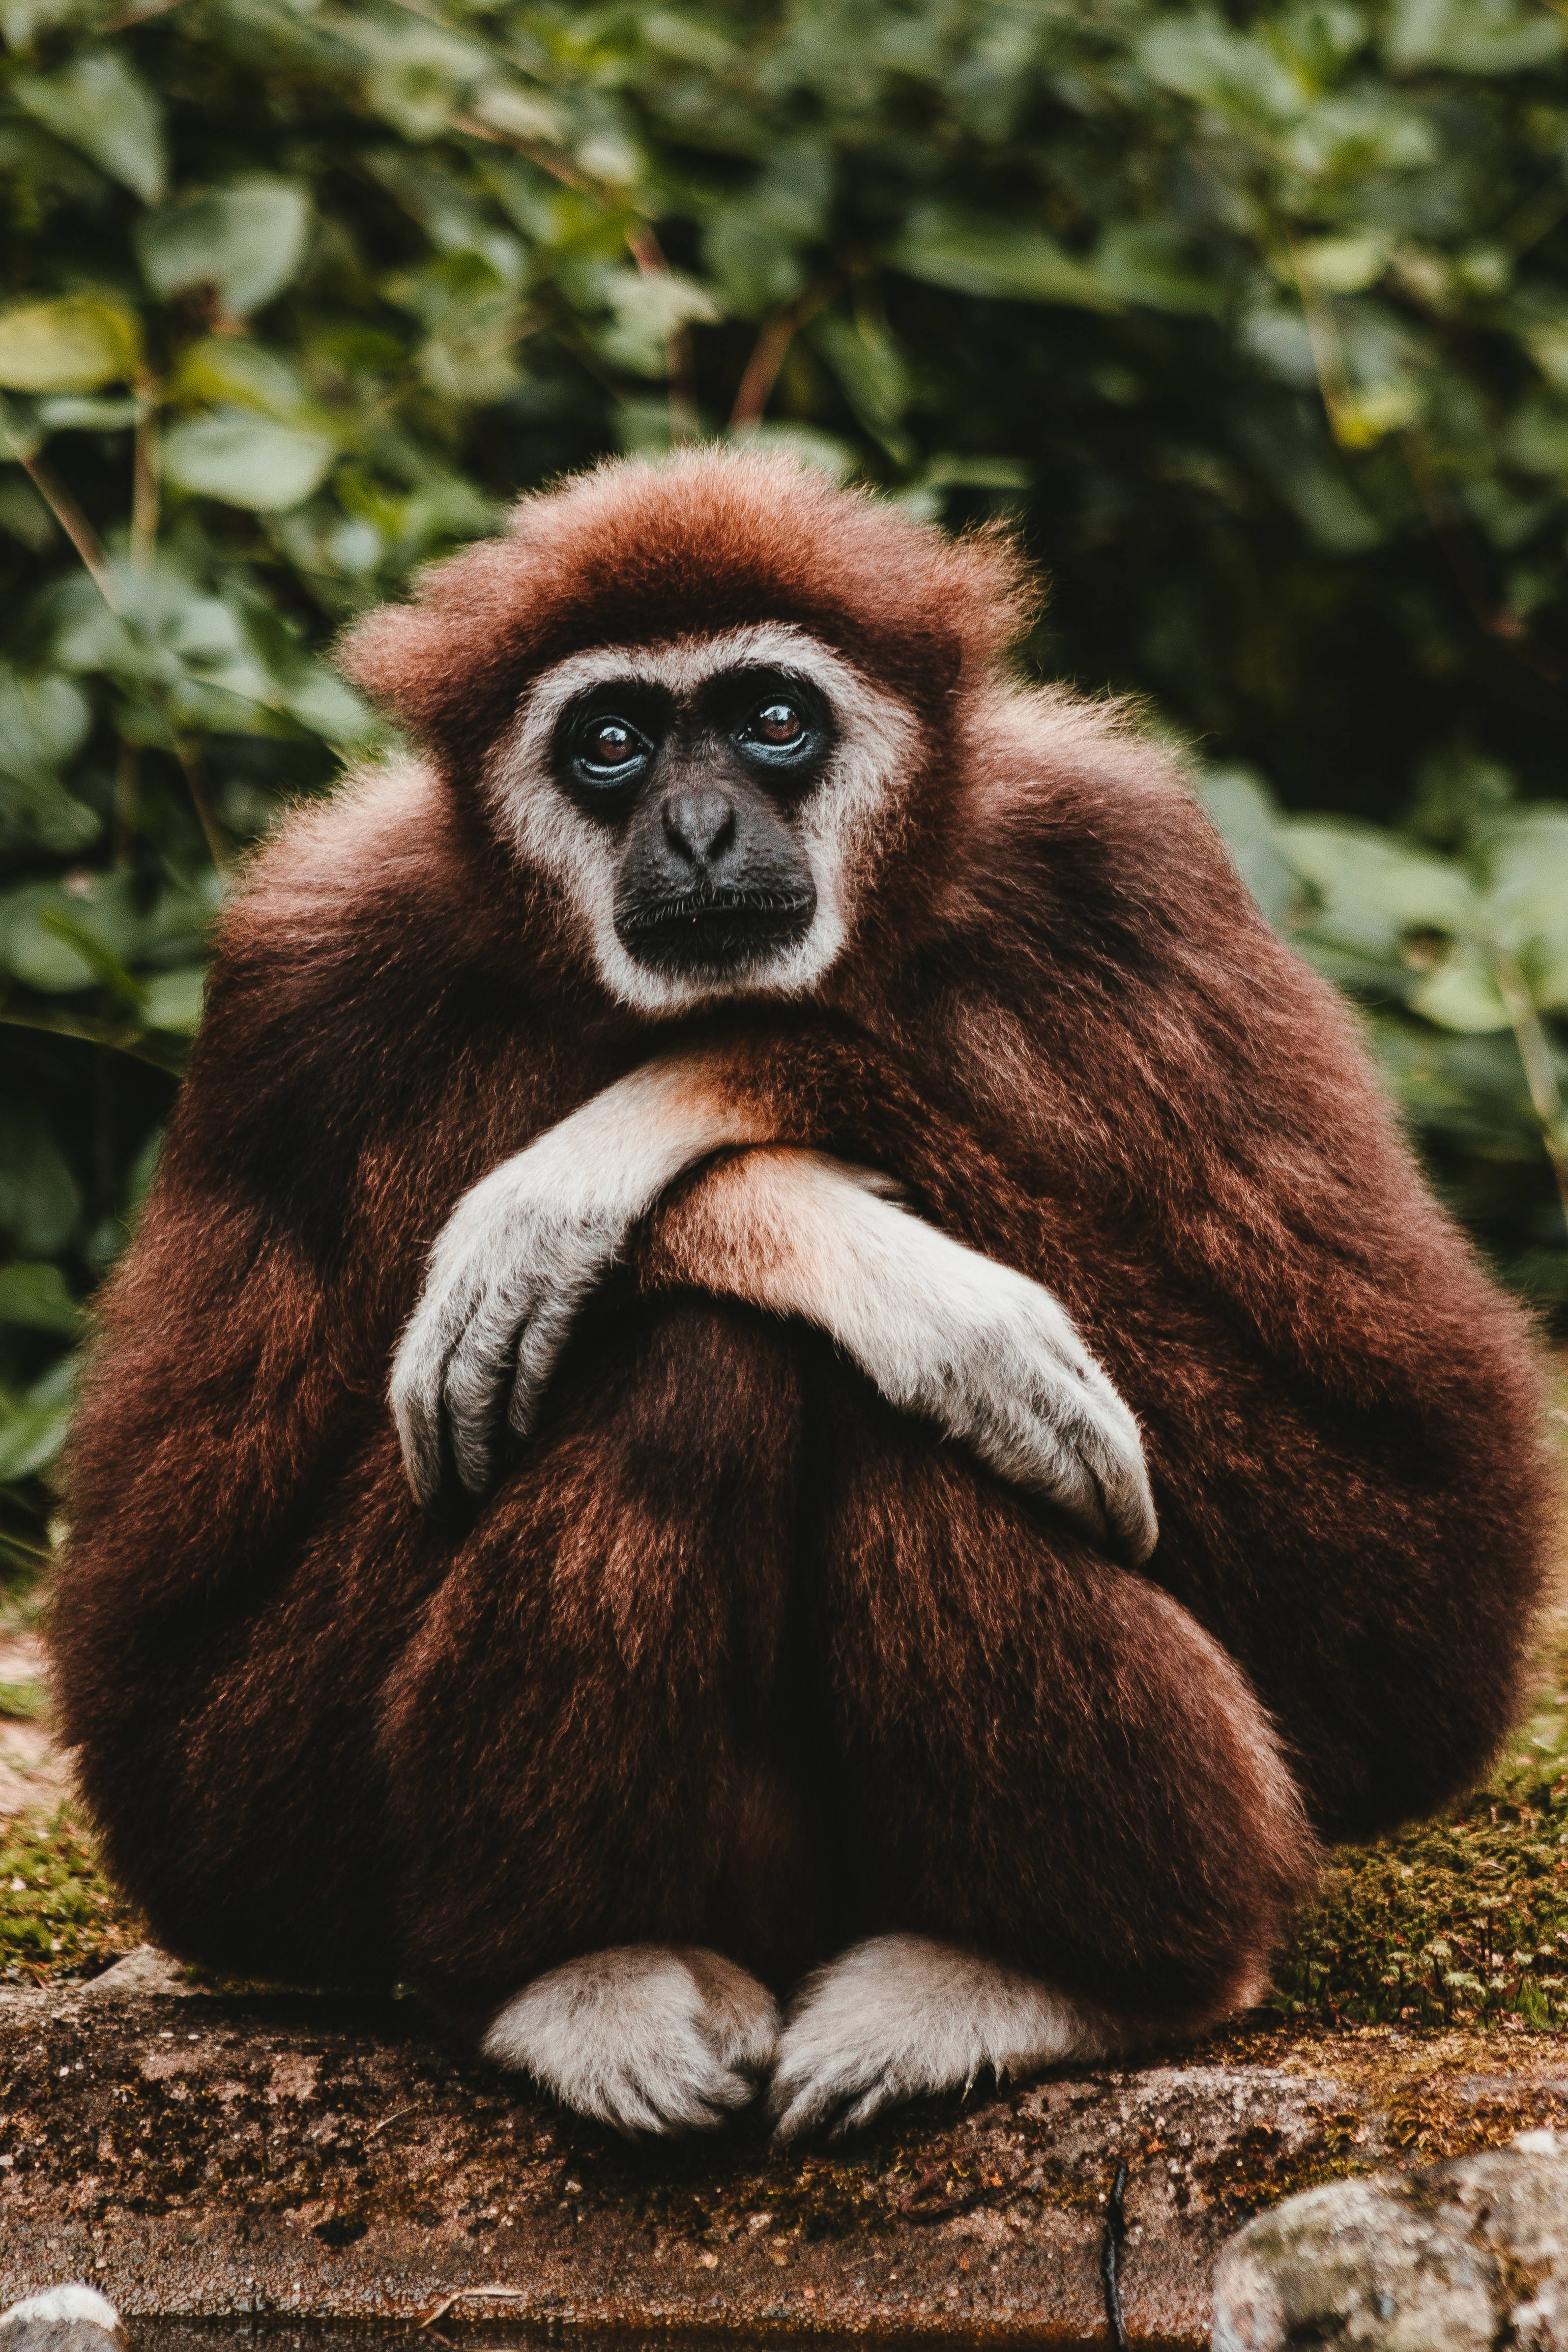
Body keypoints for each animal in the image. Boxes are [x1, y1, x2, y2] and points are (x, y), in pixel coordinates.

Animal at [52, 447, 1549, 2142]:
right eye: (611, 743)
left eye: (773, 718)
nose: (701, 827)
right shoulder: (296, 985)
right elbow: (176, 1739)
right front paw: (767, 1209)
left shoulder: (1133, 880)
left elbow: (1420, 1578)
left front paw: (677, 1114)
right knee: (696, 1355)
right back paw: (583, 1969)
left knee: (922, 1404)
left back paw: (1048, 1974)